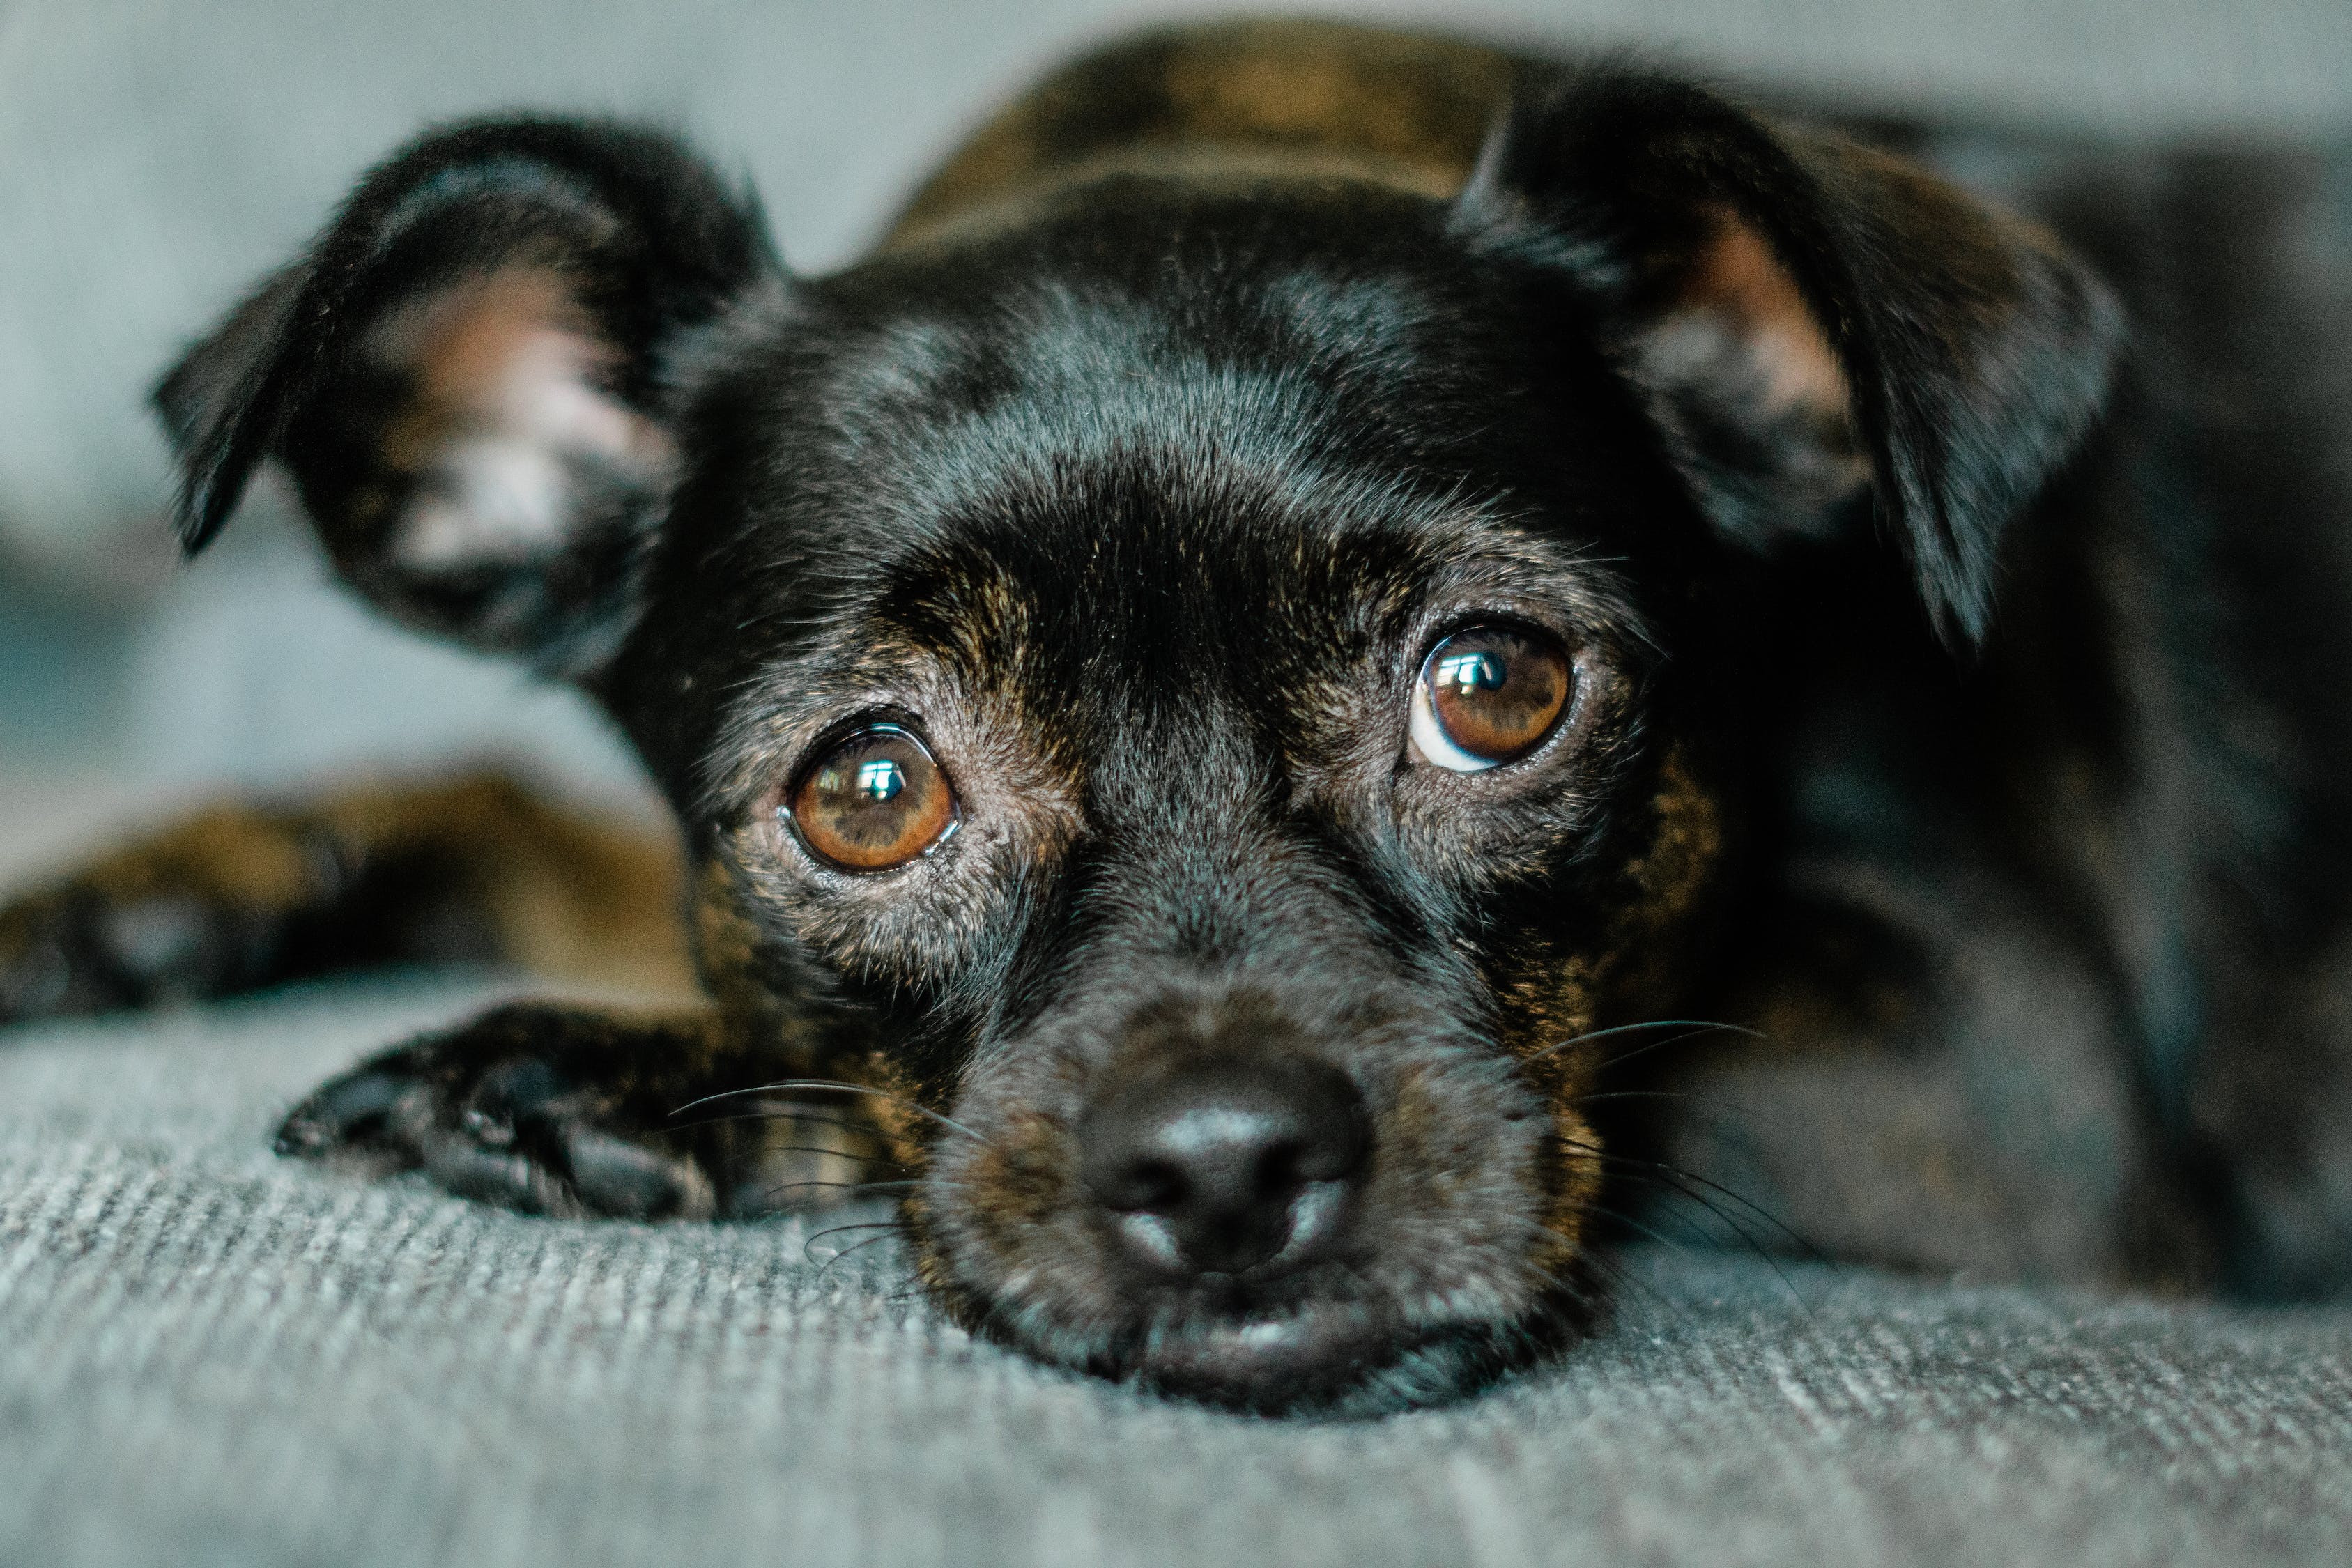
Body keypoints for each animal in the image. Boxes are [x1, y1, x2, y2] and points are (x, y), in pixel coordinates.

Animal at [4, 15, 2352, 1410]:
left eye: (1496, 691)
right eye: (867, 791)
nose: (1225, 1163)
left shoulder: (2004, 1098)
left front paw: (611, 1070)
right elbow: (551, 824)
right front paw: (179, 883)